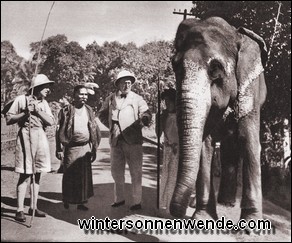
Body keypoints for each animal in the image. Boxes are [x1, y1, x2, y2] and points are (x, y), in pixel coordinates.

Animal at [170, 17, 268, 221]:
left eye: (216, 69)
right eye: (174, 66)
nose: (177, 213)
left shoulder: (251, 87)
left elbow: (248, 140)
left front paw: (251, 225)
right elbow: (205, 143)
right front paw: (202, 218)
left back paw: (227, 203)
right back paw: (225, 202)